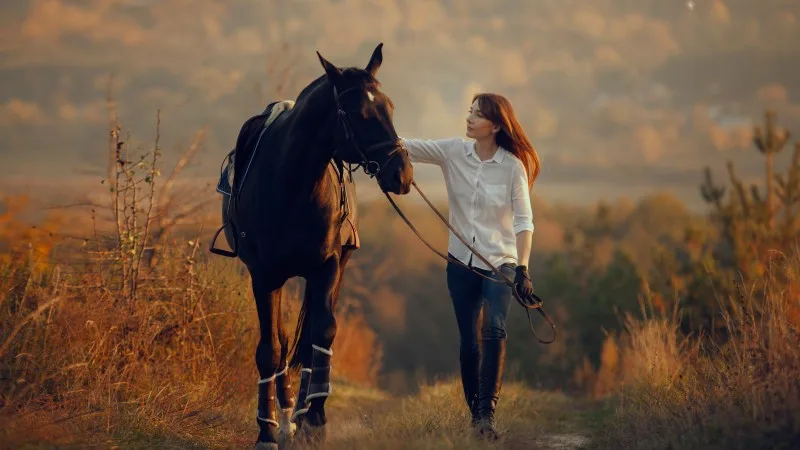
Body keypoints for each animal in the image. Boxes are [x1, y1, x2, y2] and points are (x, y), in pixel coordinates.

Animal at [210, 43, 414, 449]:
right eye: (359, 113)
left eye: (389, 108)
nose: (402, 173)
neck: (293, 183)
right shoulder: (264, 275)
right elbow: (271, 348)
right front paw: (267, 430)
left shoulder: (327, 268)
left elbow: (321, 334)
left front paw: (315, 419)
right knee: (284, 341)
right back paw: (288, 415)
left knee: (308, 341)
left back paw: (301, 415)